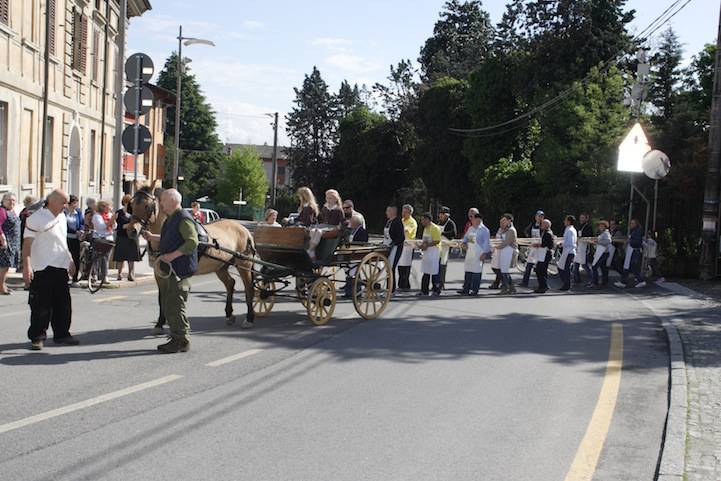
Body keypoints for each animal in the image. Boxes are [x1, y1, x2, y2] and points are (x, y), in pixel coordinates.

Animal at [126, 182, 256, 328]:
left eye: (147, 206)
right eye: (132, 205)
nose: (132, 230)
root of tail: (245, 230)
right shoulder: (159, 273)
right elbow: (162, 297)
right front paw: (160, 323)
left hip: (244, 264)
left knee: (249, 288)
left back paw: (249, 318)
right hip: (220, 266)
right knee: (230, 284)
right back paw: (229, 314)